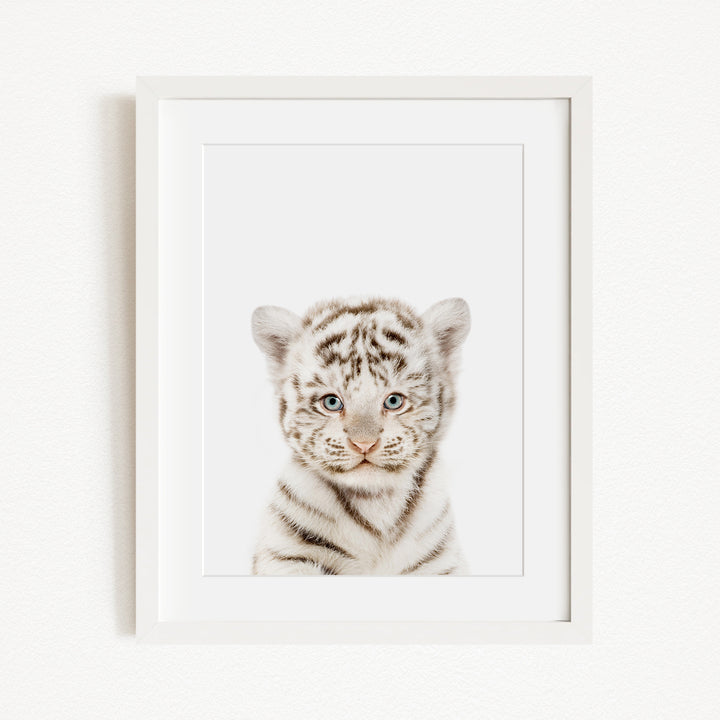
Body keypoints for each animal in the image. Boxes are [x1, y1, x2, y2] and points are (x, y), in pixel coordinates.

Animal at [250, 296, 471, 576]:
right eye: (332, 402)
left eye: (394, 401)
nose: (364, 444)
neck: (376, 503)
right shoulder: (287, 555)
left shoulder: (441, 562)